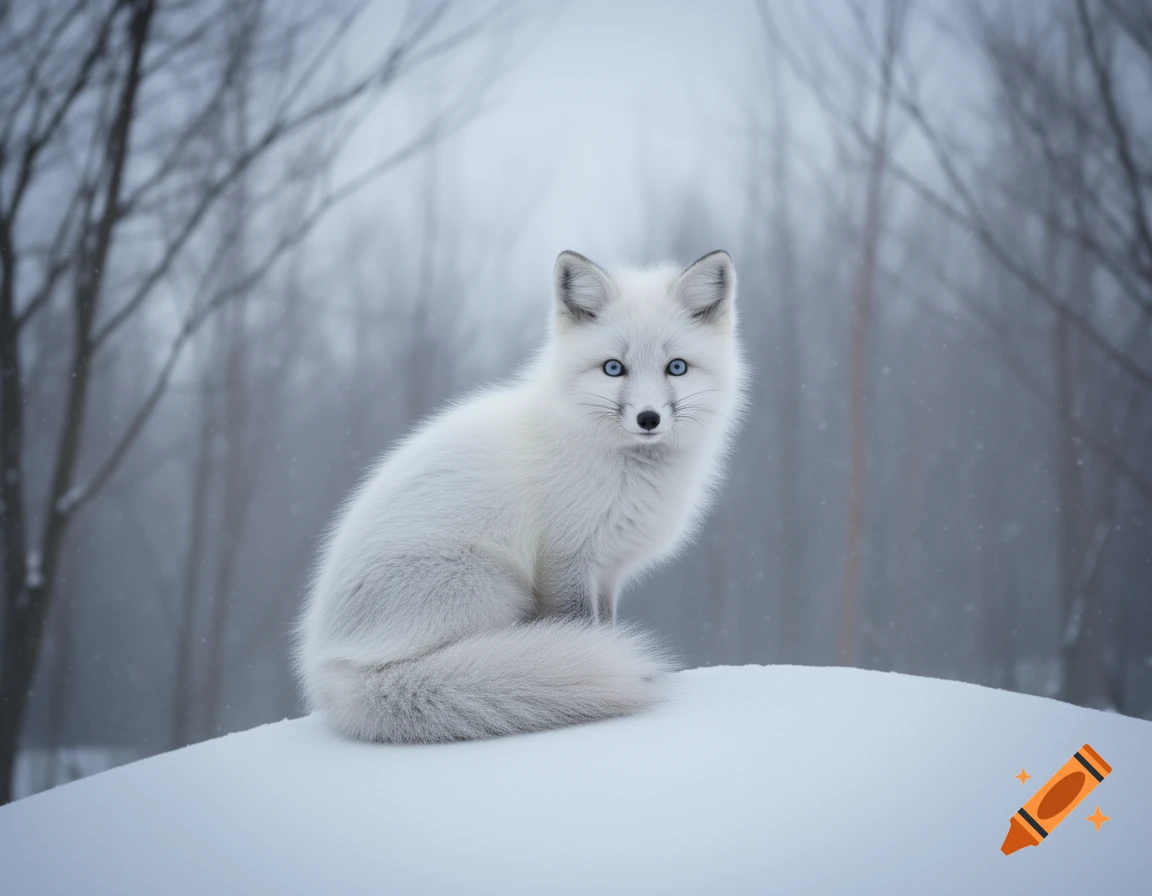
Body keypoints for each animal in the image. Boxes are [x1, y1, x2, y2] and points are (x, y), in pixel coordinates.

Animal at [296, 249, 747, 743]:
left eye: (676, 367)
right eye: (613, 368)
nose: (649, 418)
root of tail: (328, 676)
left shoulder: (607, 569)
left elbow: (606, 628)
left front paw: (624, 663)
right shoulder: (564, 561)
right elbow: (583, 630)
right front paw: (610, 666)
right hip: (495, 585)